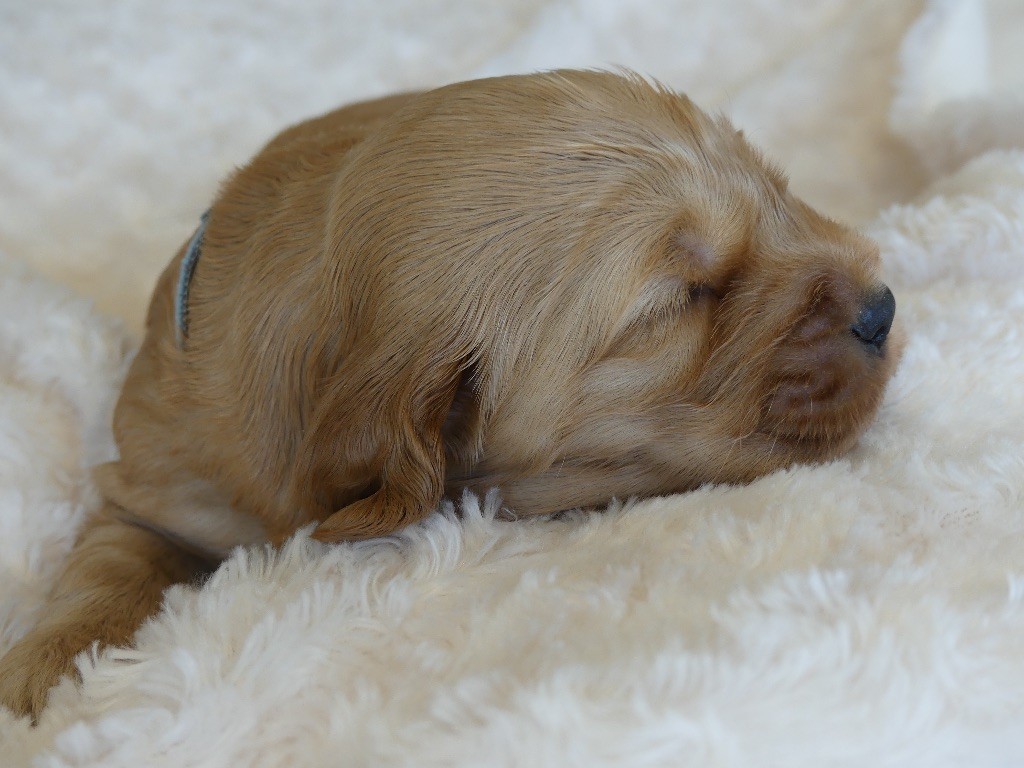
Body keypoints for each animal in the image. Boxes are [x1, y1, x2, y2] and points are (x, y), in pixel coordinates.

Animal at [0, 70, 900, 719]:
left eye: (776, 190)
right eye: (680, 300)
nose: (881, 308)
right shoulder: (155, 481)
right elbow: (109, 565)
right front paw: (51, 670)